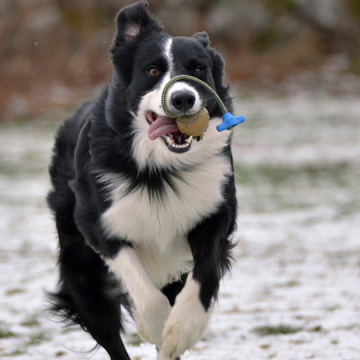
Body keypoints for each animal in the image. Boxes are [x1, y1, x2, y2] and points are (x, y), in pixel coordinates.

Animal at [47, 1, 238, 358]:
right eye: (152, 71)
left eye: (198, 69)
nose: (182, 99)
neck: (159, 169)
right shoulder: (97, 222)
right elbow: (139, 283)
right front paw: (158, 325)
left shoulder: (215, 210)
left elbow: (205, 272)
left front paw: (181, 330)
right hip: (83, 273)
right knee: (110, 336)